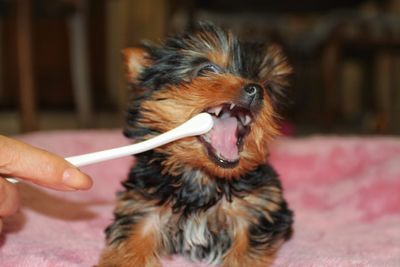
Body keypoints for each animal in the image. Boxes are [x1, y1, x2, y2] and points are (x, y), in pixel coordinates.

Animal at [99, 23, 294, 267]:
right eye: (206, 70)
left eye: (267, 85)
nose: (257, 90)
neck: (202, 177)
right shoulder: (142, 204)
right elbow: (133, 239)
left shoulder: (259, 206)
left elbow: (245, 250)